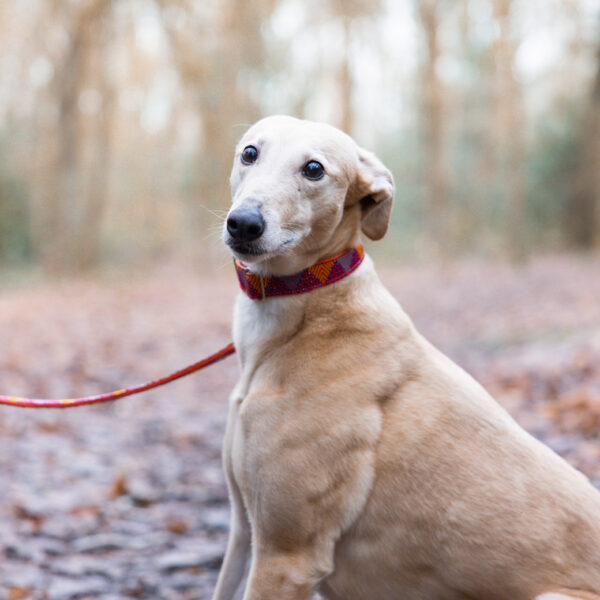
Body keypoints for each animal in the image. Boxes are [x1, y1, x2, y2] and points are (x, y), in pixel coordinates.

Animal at [213, 113, 600, 600]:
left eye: (314, 169)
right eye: (250, 153)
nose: (243, 224)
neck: (311, 314)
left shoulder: (286, 555)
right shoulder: (245, 532)